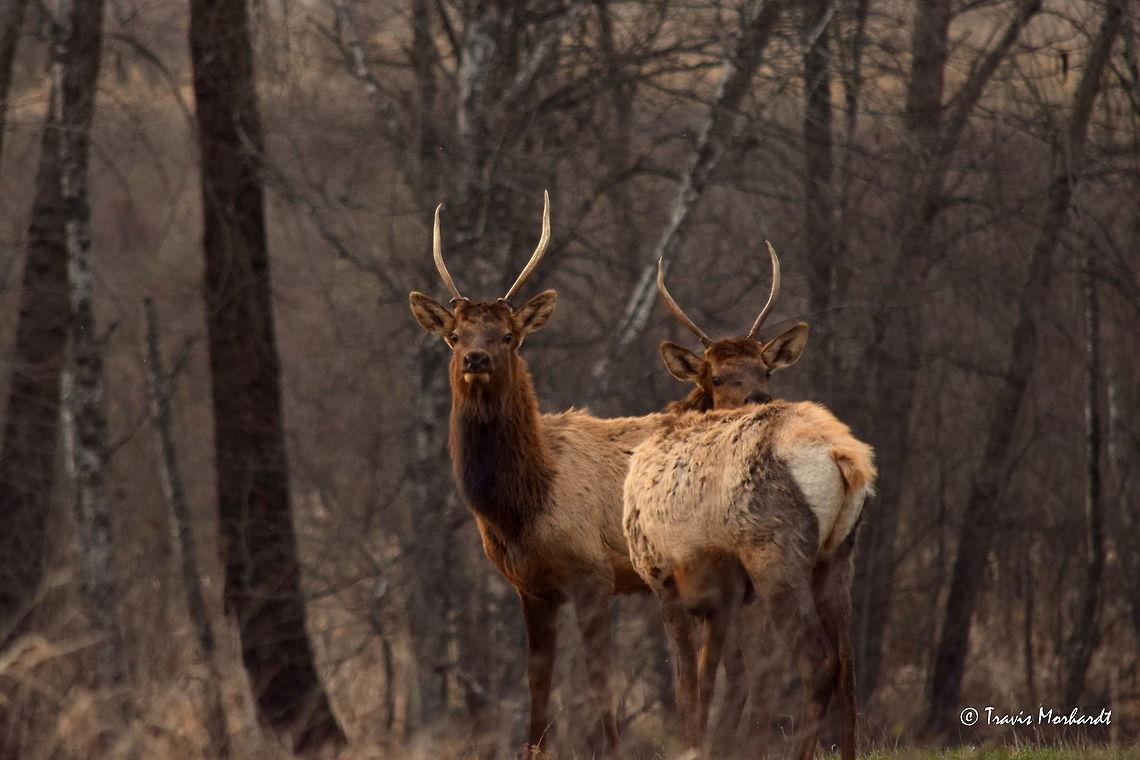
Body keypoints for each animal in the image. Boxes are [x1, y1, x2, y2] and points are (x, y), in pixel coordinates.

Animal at [625, 250, 873, 760]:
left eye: (766, 370)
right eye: (717, 376)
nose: (760, 396)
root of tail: (843, 457)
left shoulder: (665, 577)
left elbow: (691, 679)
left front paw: (693, 745)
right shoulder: (732, 594)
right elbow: (734, 676)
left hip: (775, 553)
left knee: (818, 659)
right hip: (839, 555)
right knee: (847, 658)